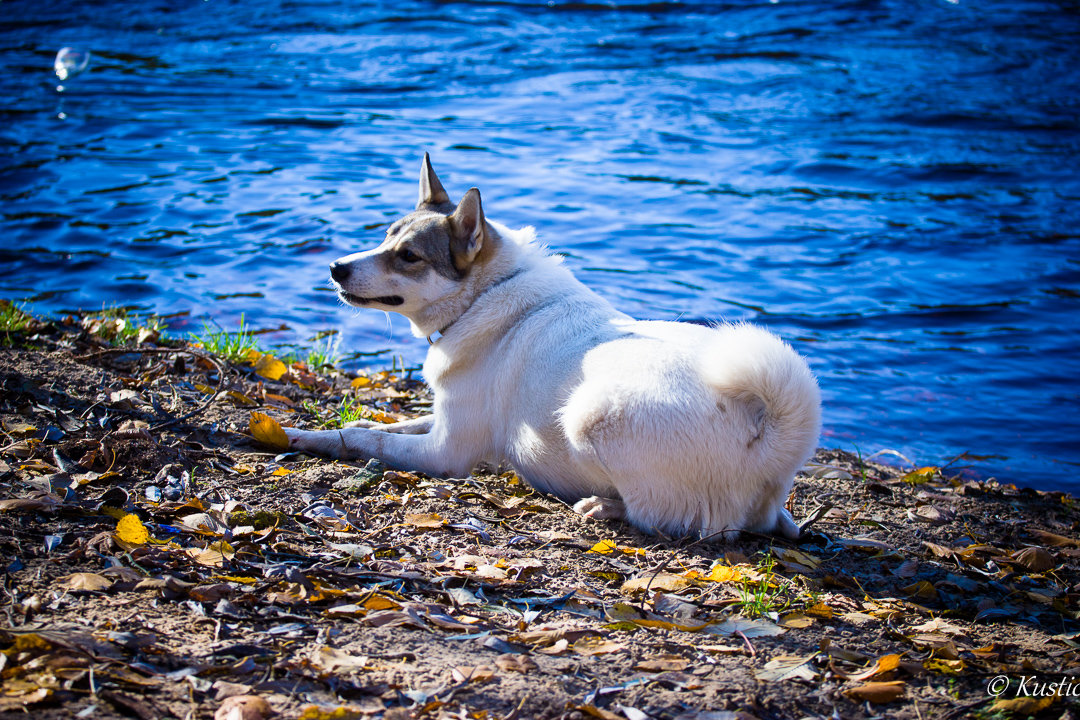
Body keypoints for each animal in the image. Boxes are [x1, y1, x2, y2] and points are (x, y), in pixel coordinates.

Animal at [282, 157, 820, 539]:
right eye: (385, 237)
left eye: (408, 256)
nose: (335, 268)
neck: (487, 293)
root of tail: (770, 437)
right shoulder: (441, 420)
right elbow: (383, 425)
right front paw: (328, 425)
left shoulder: (444, 453)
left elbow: (366, 440)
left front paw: (301, 437)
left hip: (588, 414)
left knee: (666, 518)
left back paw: (607, 506)